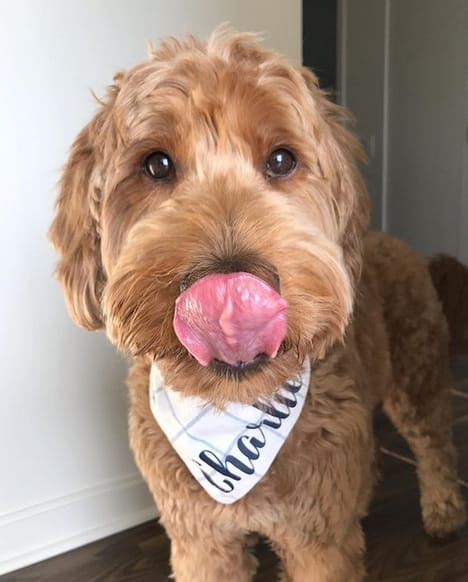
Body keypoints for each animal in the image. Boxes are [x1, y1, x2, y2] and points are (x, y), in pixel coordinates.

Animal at [48, 30, 467, 581]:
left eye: (282, 159)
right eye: (156, 164)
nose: (230, 290)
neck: (233, 408)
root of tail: (400, 245)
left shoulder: (319, 540)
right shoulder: (201, 540)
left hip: (418, 376)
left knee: (436, 444)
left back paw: (443, 511)